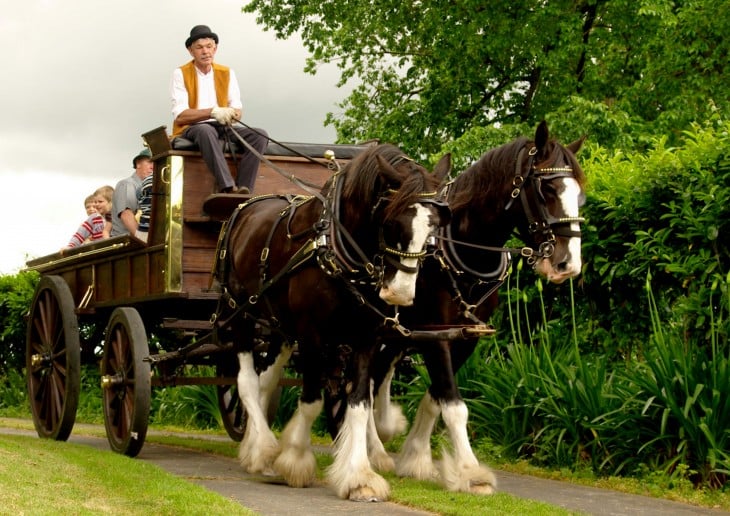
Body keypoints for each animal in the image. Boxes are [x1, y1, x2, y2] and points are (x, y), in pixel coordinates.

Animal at [218, 142, 450, 500]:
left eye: (434, 227)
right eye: (391, 222)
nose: (399, 292)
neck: (339, 251)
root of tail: (243, 209)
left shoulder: (367, 337)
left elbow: (358, 404)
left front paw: (358, 476)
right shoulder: (312, 335)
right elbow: (312, 400)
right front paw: (295, 458)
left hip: (279, 326)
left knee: (266, 379)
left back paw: (255, 448)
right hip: (241, 312)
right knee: (246, 380)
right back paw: (264, 449)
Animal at [366, 120, 584, 492]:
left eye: (580, 194)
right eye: (547, 189)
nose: (567, 263)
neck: (460, 250)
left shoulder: (464, 336)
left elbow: (436, 397)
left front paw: (415, 457)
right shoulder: (435, 334)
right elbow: (454, 405)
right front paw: (470, 471)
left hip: (395, 333)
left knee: (379, 373)